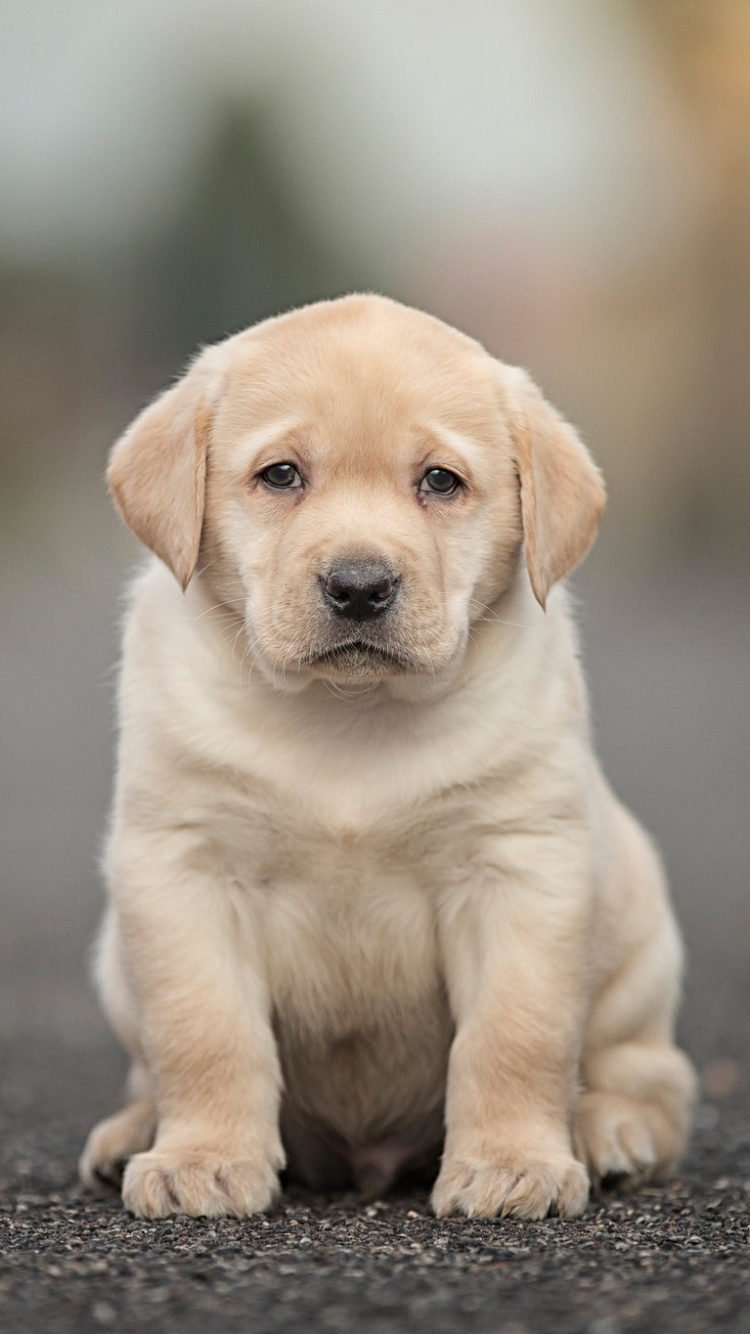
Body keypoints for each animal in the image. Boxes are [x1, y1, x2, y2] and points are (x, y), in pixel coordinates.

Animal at [78, 294, 693, 1221]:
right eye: (281, 476)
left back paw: (613, 1131)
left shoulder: (521, 866)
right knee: (150, 1068)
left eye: (440, 481)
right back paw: (130, 1134)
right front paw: (202, 1158)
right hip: (117, 963)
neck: (350, 715)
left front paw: (513, 1163)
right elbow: (204, 1032)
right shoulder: (183, 866)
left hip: (639, 949)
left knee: (652, 1076)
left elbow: (516, 1035)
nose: (360, 586)